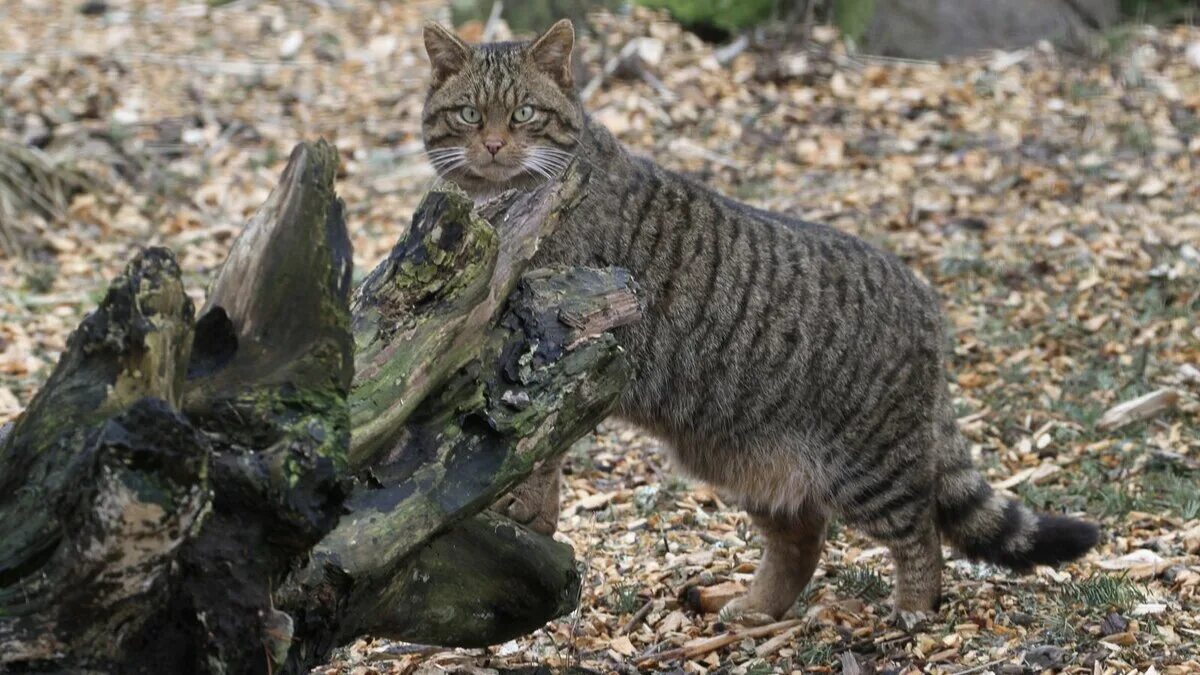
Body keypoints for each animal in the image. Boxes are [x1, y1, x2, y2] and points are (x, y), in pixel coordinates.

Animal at [422, 18, 1099, 624]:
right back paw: (756, 609)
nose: (493, 145)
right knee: (803, 541)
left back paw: (913, 608)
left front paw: (527, 506)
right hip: (749, 463)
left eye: (524, 114)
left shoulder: (558, 347)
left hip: (871, 467)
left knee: (921, 529)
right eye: (469, 115)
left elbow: (540, 451)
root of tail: (923, 296)